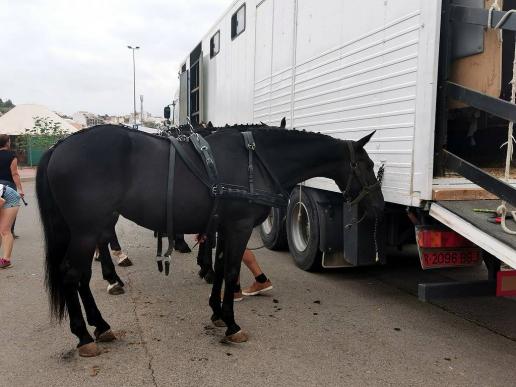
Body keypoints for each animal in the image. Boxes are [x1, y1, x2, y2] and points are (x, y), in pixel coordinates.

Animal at [36, 124, 382, 358]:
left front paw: (216, 312)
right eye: (366, 165)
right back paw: (85, 335)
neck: (255, 161)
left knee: (82, 275)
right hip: (86, 229)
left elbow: (220, 266)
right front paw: (231, 323)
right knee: (73, 273)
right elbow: (230, 270)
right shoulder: (239, 227)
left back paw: (100, 325)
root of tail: (59, 146)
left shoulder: (224, 226)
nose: (378, 207)